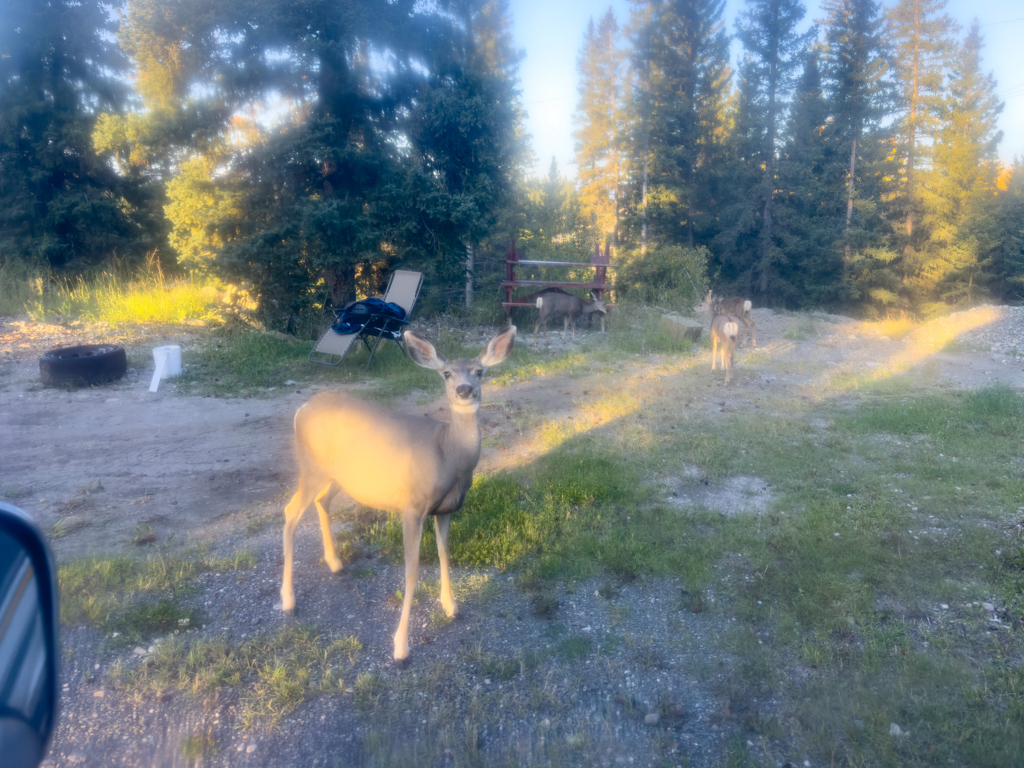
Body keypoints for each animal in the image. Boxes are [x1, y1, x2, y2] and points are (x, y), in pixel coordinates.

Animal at [280, 325, 516, 667]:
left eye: (479, 371)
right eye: (446, 373)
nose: (464, 390)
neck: (447, 453)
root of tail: (301, 410)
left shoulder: (446, 509)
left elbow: (445, 554)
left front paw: (451, 607)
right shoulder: (412, 507)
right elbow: (411, 571)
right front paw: (400, 647)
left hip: (343, 476)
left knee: (321, 501)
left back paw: (335, 564)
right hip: (311, 466)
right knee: (290, 513)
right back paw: (288, 600)